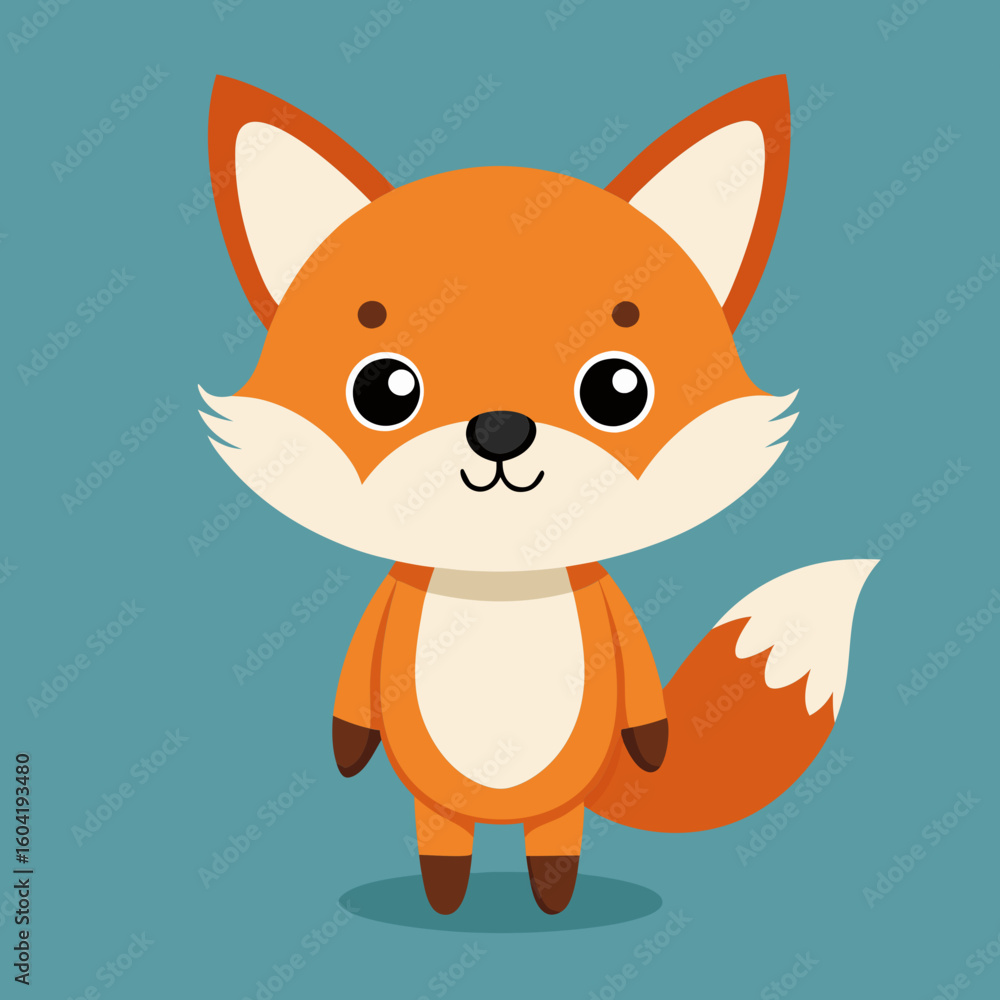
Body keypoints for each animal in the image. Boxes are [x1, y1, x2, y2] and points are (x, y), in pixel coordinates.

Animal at [200, 74, 878, 915]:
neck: (501, 577)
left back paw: (551, 894)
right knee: (445, 834)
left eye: (618, 389)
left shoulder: (607, 607)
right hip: (439, 802)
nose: (498, 429)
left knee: (553, 838)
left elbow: (642, 689)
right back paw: (447, 895)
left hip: (560, 805)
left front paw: (651, 744)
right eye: (382, 390)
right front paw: (348, 748)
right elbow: (353, 696)